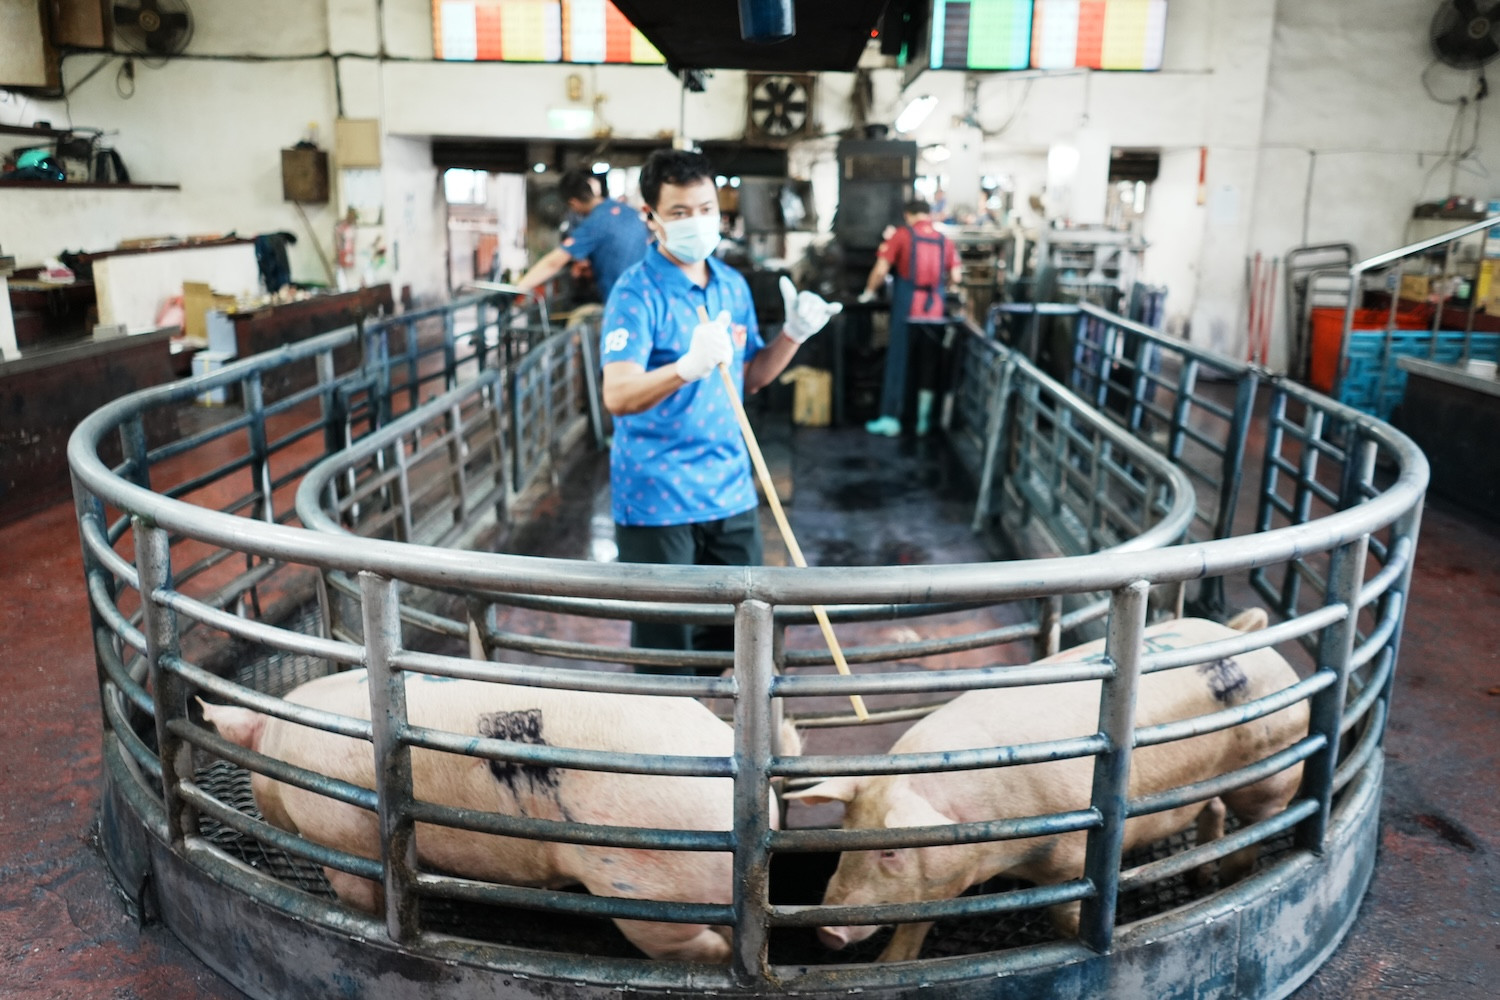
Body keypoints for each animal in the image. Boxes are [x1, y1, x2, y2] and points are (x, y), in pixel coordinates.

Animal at [786, 610, 1308, 962]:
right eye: (847, 834)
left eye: (890, 850)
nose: (829, 934)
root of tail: (1244, 633)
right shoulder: (944, 875)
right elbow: (918, 922)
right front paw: (888, 964)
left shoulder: (1073, 856)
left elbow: (1063, 912)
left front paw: (1083, 936)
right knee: (1213, 810)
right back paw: (1200, 879)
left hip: (1270, 770)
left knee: (1255, 825)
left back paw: (1233, 879)